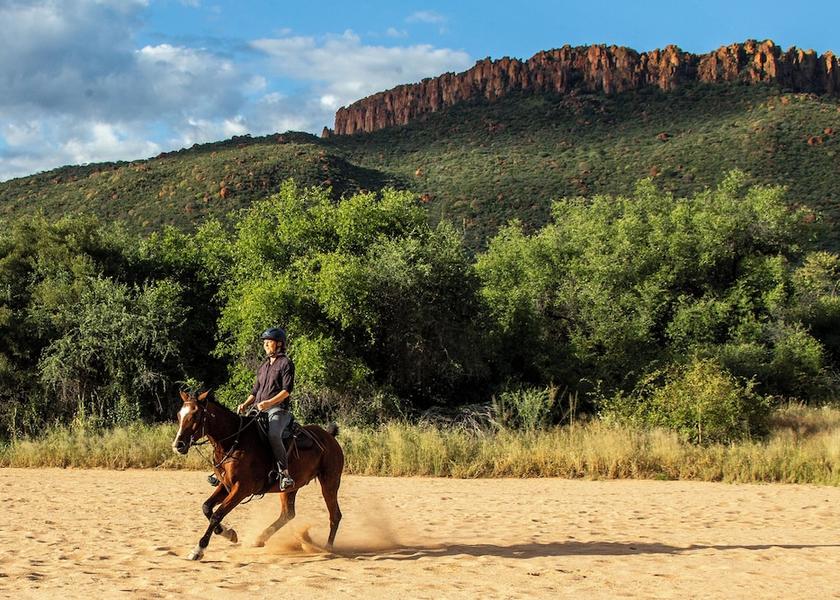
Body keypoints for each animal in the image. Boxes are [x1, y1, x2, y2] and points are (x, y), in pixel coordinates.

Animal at [172, 390, 344, 561]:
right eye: (179, 415)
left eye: (195, 415)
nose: (178, 445)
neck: (234, 442)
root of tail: (330, 437)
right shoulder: (226, 485)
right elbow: (207, 507)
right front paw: (229, 534)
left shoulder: (242, 489)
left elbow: (217, 515)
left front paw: (199, 549)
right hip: (290, 488)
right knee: (288, 513)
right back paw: (260, 539)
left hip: (330, 482)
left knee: (335, 515)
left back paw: (328, 548)